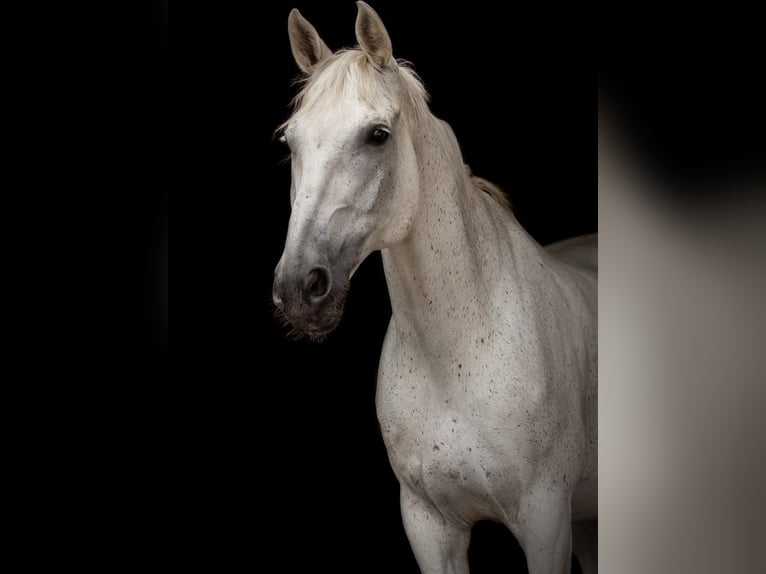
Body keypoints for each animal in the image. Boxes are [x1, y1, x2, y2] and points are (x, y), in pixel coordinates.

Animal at [272, 4, 598, 572]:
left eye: (378, 135)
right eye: (291, 141)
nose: (297, 288)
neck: (456, 355)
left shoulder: (545, 523)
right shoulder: (429, 525)